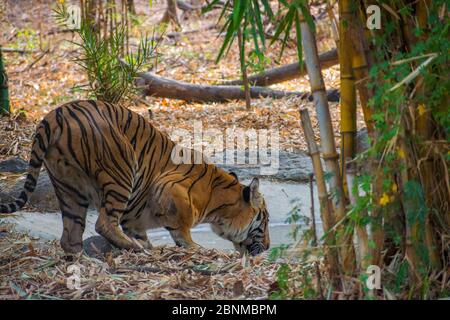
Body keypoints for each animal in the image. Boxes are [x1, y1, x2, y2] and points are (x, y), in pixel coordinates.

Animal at [0, 99, 268, 255]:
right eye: (263, 221)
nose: (267, 247)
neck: (218, 201)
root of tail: (54, 115)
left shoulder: (136, 217)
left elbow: (140, 228)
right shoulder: (171, 188)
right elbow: (182, 229)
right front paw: (195, 249)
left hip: (69, 187)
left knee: (71, 236)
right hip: (121, 169)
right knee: (104, 223)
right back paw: (136, 249)